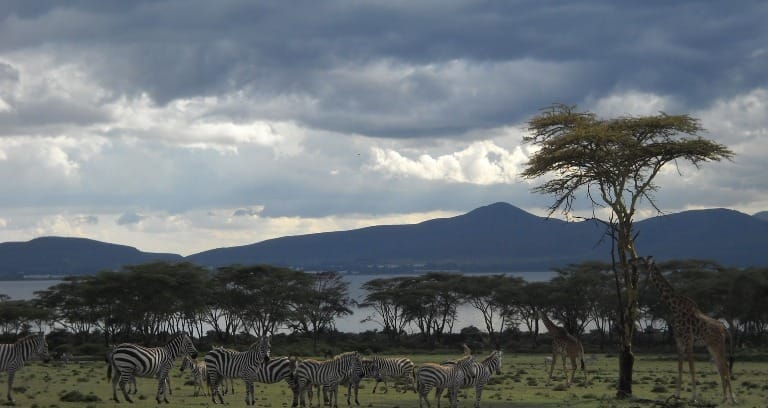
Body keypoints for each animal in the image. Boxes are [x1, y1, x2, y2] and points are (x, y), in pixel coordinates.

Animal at [636, 256, 736, 404]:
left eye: (642, 263)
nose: (631, 262)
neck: (674, 307)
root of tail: (724, 328)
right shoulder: (679, 342)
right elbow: (680, 367)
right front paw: (677, 395)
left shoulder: (688, 341)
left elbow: (691, 367)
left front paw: (694, 397)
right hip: (711, 346)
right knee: (721, 366)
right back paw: (724, 398)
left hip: (718, 345)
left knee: (725, 366)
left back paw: (732, 398)